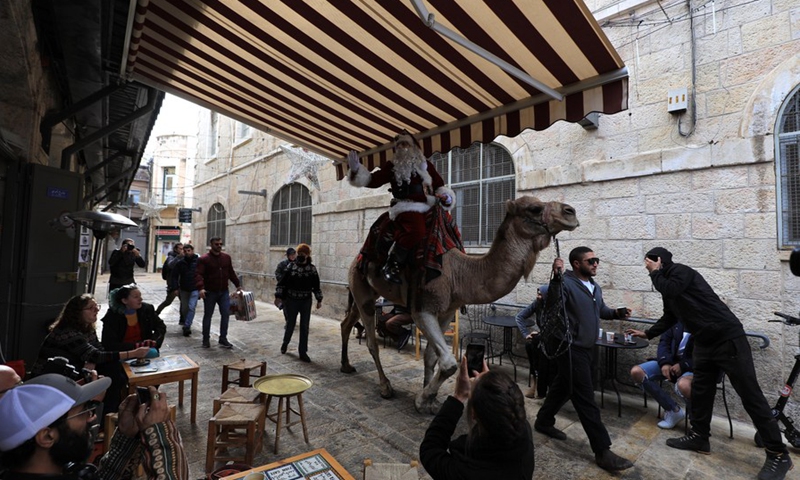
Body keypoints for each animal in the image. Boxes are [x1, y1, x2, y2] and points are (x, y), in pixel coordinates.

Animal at [340, 195, 580, 412]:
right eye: (535, 208)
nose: (571, 212)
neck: (460, 274)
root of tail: (355, 259)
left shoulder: (447, 311)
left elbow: (431, 357)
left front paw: (429, 401)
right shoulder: (422, 309)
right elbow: (448, 363)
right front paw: (422, 399)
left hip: (362, 292)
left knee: (346, 323)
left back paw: (346, 366)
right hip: (362, 290)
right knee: (371, 341)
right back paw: (385, 387)